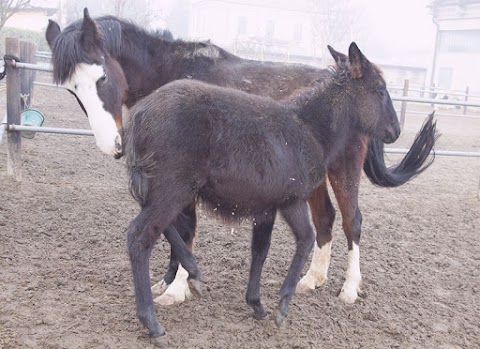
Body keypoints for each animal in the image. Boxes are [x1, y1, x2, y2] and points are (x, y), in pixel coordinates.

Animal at [46, 8, 438, 308]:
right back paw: (313, 278)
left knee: (351, 220)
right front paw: (170, 280)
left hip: (343, 168)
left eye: (101, 77)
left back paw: (349, 288)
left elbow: (186, 229)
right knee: (325, 218)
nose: (113, 145)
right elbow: (173, 229)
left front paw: (179, 287)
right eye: (72, 90)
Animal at [123, 42, 402, 340]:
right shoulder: (291, 200)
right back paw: (152, 321)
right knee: (140, 235)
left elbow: (260, 250)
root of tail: (140, 114)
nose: (395, 131)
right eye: (380, 89)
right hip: (173, 188)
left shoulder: (265, 207)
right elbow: (305, 239)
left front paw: (255, 303)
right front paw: (283, 303)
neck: (310, 128)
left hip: (166, 189)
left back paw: (193, 271)